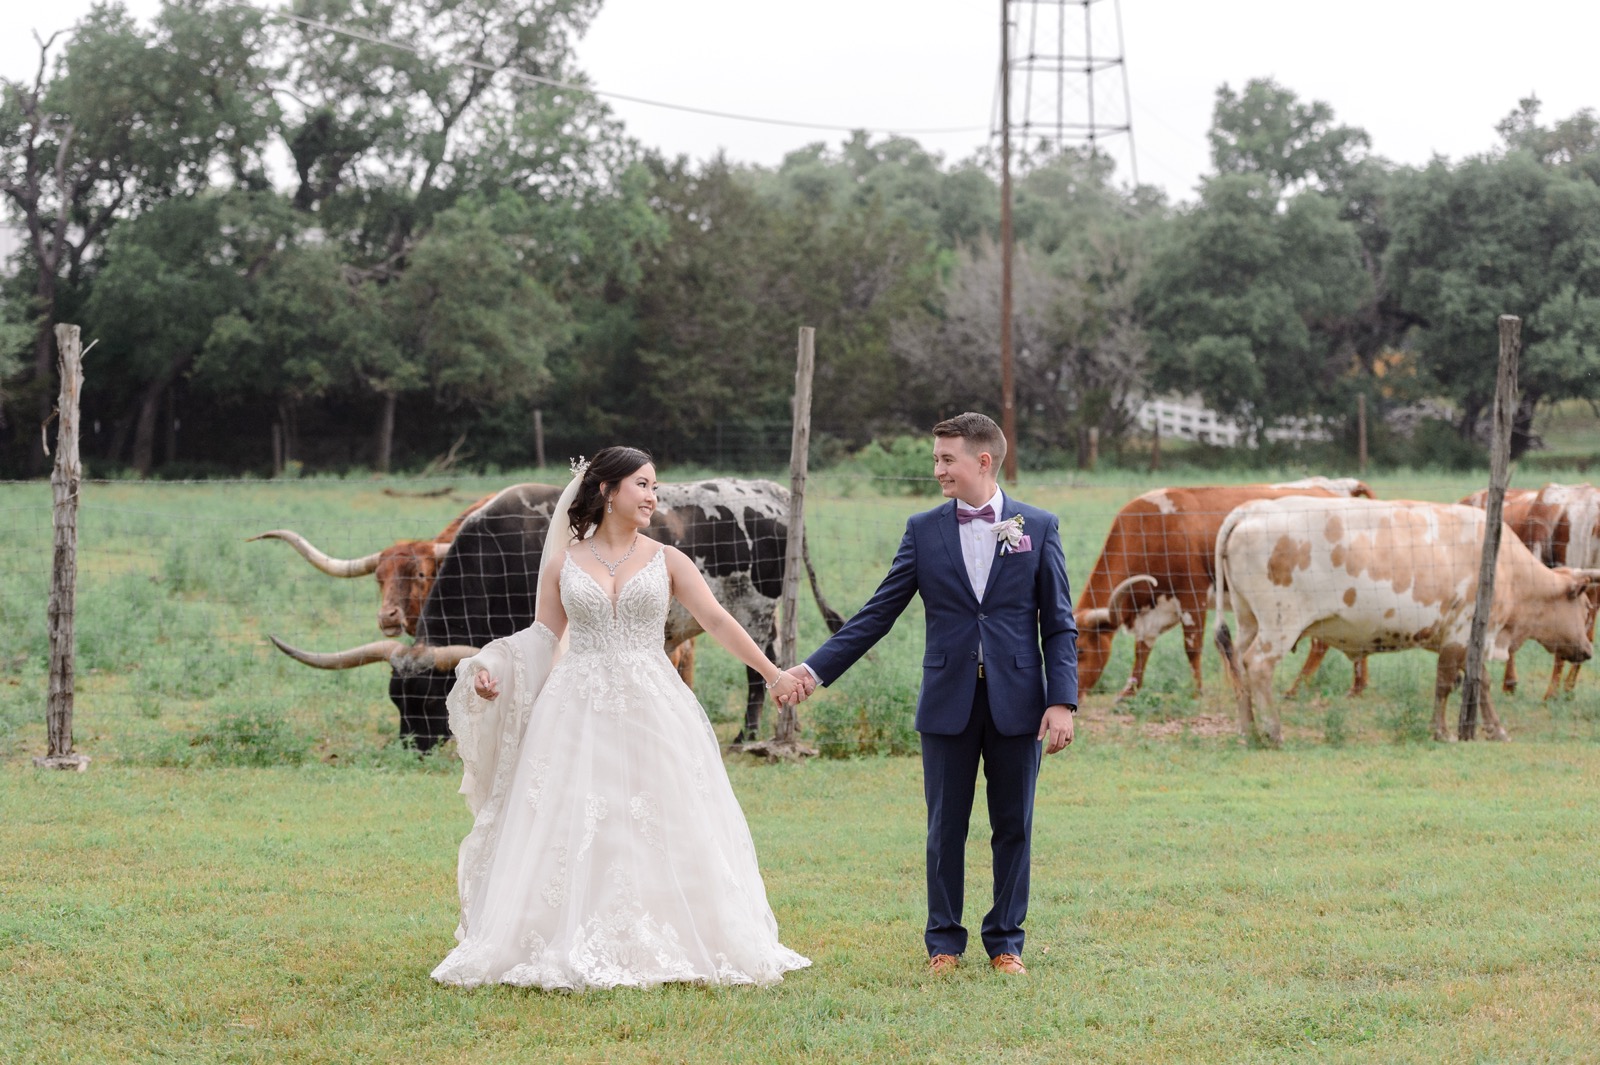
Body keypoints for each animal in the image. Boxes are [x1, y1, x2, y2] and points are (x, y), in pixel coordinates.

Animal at [268, 479, 844, 745]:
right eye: (394, 699)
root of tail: (773, 492)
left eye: (431, 699)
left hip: (754, 609)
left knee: (756, 672)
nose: (412, 747)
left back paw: (746, 737)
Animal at [1068, 479, 1369, 697]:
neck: (1151, 529)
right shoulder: (1155, 608)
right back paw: (1356, 688)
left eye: (1080, 651)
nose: (1075, 697)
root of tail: (1335, 489)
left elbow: (1192, 647)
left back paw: (1296, 690)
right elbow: (1142, 648)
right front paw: (1129, 691)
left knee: (1321, 643)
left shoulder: (1193, 597)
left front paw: (1197, 692)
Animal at [1209, 492, 1600, 741]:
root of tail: (1252, 509)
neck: (1506, 566)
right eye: (1583, 609)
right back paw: (1273, 731)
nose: (1587, 650)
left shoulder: (1470, 639)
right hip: (1279, 624)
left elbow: (1481, 683)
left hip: (1249, 619)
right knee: (1258, 665)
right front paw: (1442, 732)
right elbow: (1445, 684)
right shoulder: (1460, 633)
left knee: (1238, 663)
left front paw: (1495, 729)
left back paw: (1248, 729)